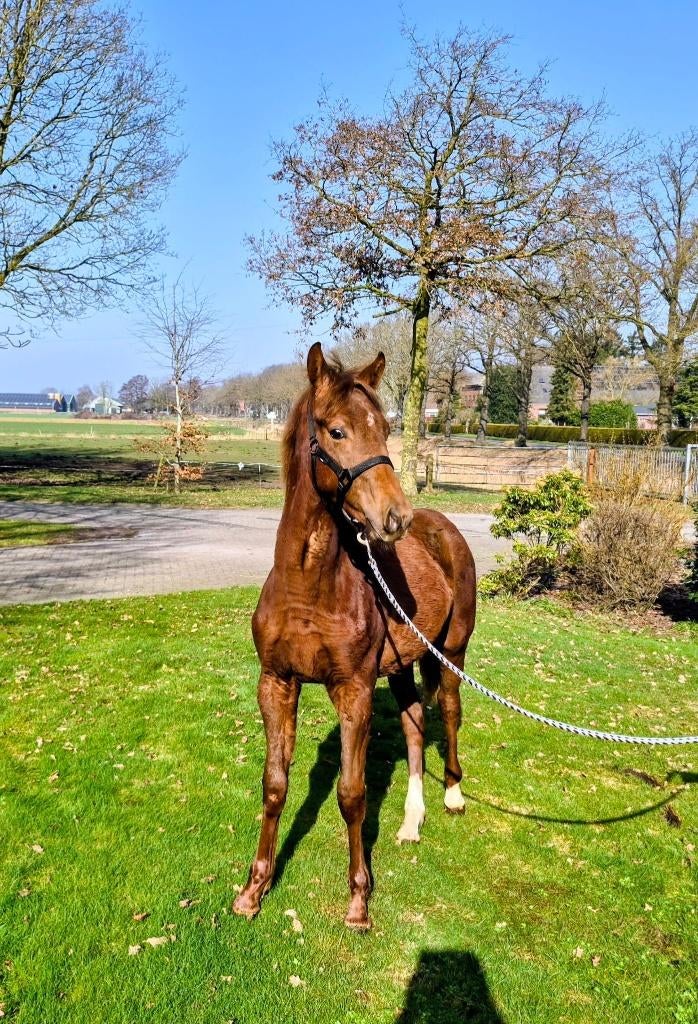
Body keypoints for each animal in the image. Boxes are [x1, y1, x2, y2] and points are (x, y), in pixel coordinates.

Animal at [233, 342, 476, 930]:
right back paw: (411, 821)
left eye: (386, 428)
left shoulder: (355, 690)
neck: (309, 587)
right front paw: (254, 889)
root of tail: (443, 526)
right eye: (337, 431)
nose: (395, 517)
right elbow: (275, 786)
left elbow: (351, 793)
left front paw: (359, 900)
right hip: (405, 664)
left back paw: (454, 795)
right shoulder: (276, 683)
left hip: (451, 653)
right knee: (414, 726)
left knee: (449, 712)